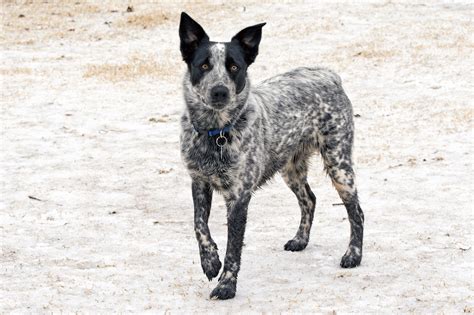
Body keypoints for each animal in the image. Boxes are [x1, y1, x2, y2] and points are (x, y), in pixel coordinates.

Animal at [180, 11, 364, 298]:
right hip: (291, 168)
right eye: (204, 65)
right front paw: (210, 262)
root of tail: (328, 74)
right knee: (309, 199)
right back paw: (300, 240)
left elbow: (234, 248)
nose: (219, 91)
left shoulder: (239, 196)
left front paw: (226, 285)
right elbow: (200, 225)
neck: (216, 133)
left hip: (339, 164)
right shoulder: (198, 181)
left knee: (356, 211)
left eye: (235, 67)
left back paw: (353, 255)